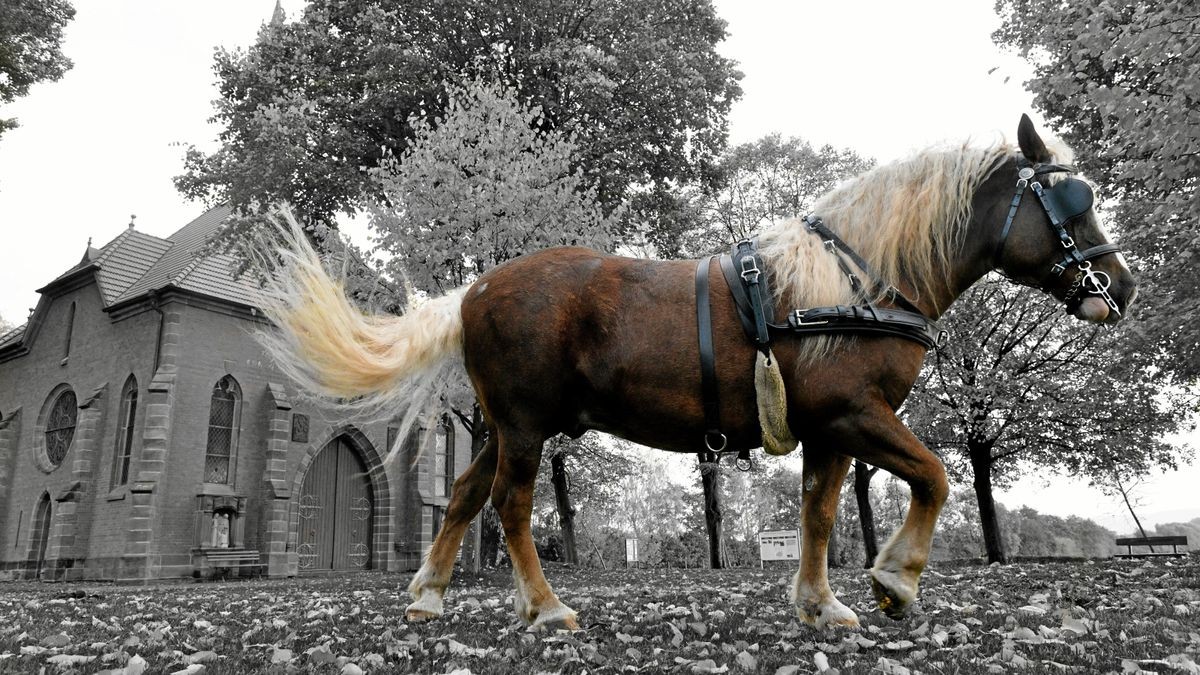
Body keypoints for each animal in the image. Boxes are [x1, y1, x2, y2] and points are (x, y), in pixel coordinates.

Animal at [260, 112, 1132, 629]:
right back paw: (545, 607)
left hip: (503, 426)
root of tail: (475, 288)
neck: (855, 283)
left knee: (468, 494)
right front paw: (896, 578)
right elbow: (937, 476)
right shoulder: (856, 414)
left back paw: (429, 593)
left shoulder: (829, 432)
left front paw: (820, 601)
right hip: (526, 426)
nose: (1119, 287)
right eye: (1071, 202)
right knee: (509, 506)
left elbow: (820, 514)